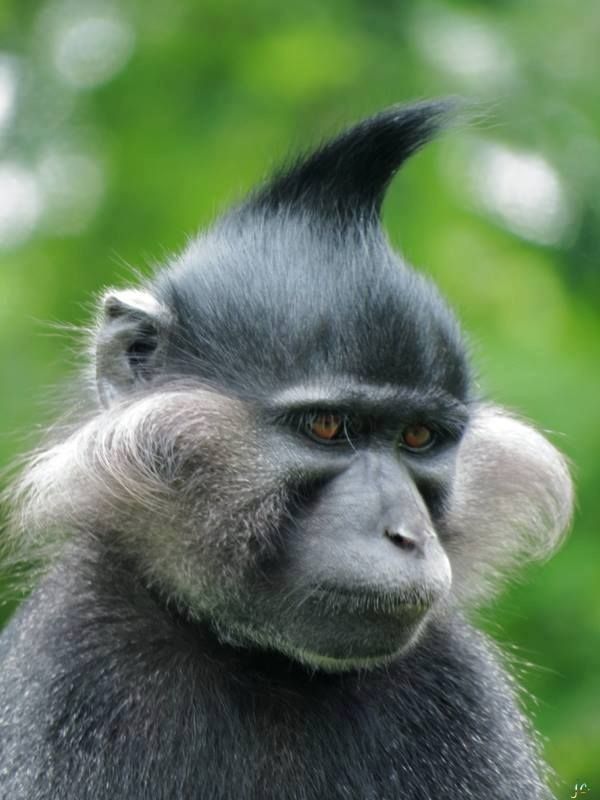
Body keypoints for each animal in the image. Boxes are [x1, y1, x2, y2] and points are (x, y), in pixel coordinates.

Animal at [0, 101, 572, 800]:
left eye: (417, 437)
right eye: (326, 426)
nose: (407, 534)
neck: (268, 665)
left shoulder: (456, 686)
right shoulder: (75, 669)